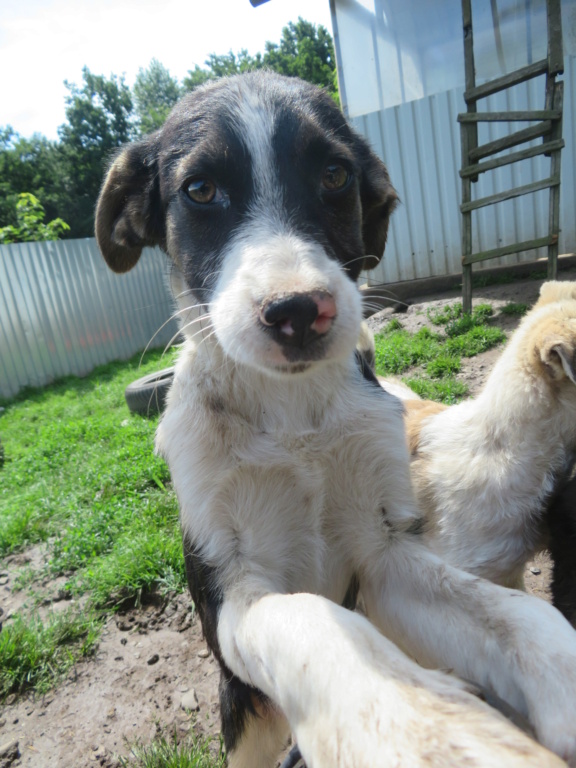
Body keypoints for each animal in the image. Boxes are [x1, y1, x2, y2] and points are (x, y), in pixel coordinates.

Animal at [97, 73, 576, 768]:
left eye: (333, 175)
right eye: (200, 190)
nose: (298, 310)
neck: (293, 414)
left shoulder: (383, 555)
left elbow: (516, 615)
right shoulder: (233, 595)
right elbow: (311, 622)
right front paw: (426, 732)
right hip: (244, 715)